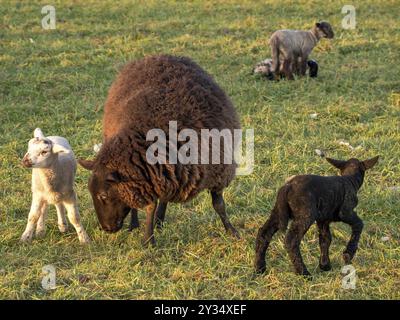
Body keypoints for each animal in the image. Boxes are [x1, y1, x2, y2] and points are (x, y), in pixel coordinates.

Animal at [78, 54, 241, 245]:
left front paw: (232, 231)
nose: (106, 229)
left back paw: (159, 221)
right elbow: (150, 206)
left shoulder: (218, 171)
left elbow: (219, 205)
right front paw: (148, 240)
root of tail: (156, 56)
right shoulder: (148, 178)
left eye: (103, 196)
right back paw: (136, 224)